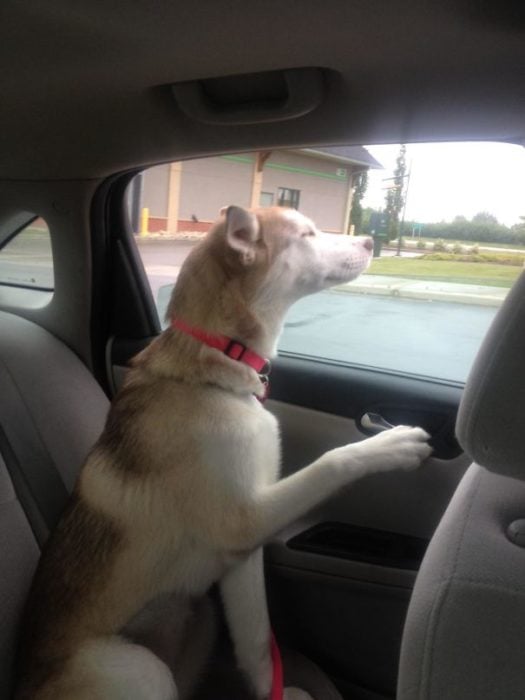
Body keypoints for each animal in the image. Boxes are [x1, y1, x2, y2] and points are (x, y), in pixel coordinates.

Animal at [15, 205, 430, 696]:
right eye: (306, 234)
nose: (369, 242)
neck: (216, 368)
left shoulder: (241, 556)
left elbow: (256, 642)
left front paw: (274, 691)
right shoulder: (243, 519)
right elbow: (334, 461)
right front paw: (392, 443)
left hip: (200, 615)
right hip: (141, 667)